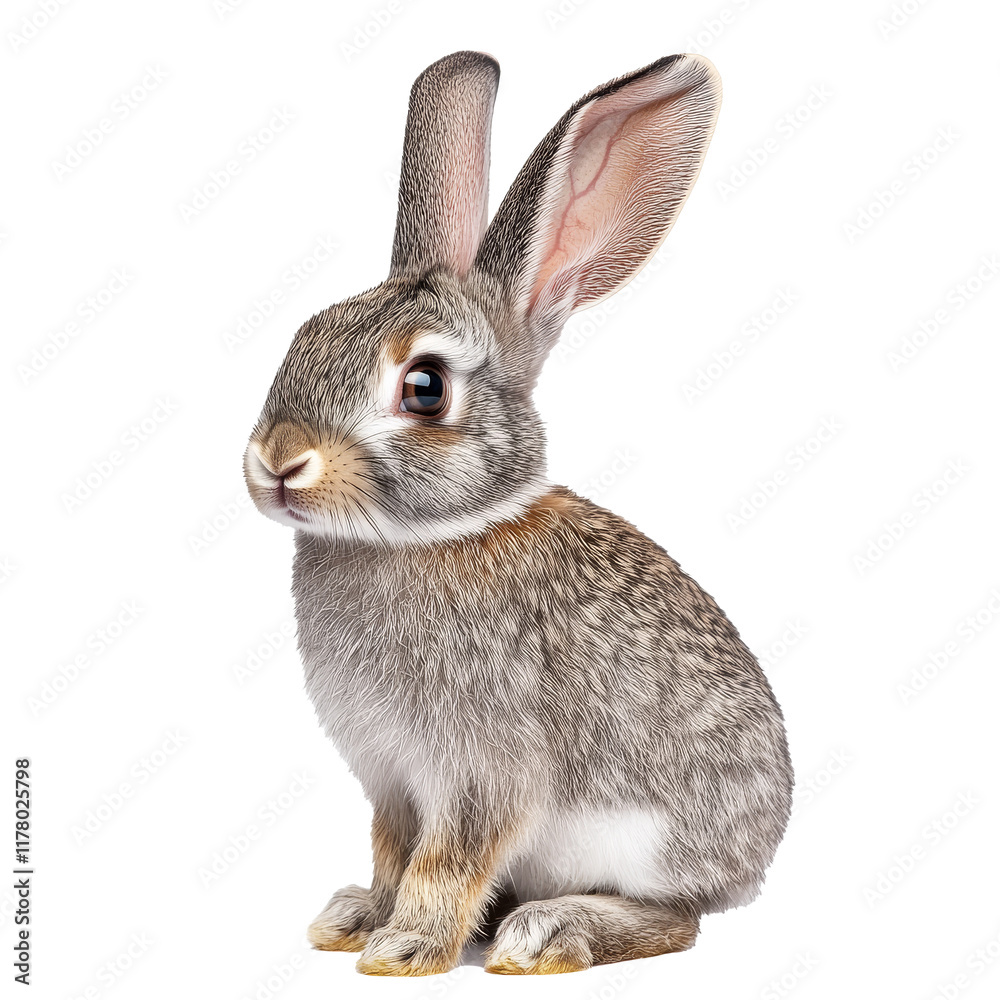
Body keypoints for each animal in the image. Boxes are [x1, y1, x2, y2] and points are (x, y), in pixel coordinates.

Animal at [243, 50, 793, 977]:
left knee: (677, 920)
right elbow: (394, 852)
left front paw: (406, 949)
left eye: (425, 387)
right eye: (303, 336)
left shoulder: (485, 769)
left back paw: (548, 932)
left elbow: (448, 861)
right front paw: (357, 921)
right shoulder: (392, 780)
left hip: (645, 844)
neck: (430, 537)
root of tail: (758, 856)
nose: (278, 460)